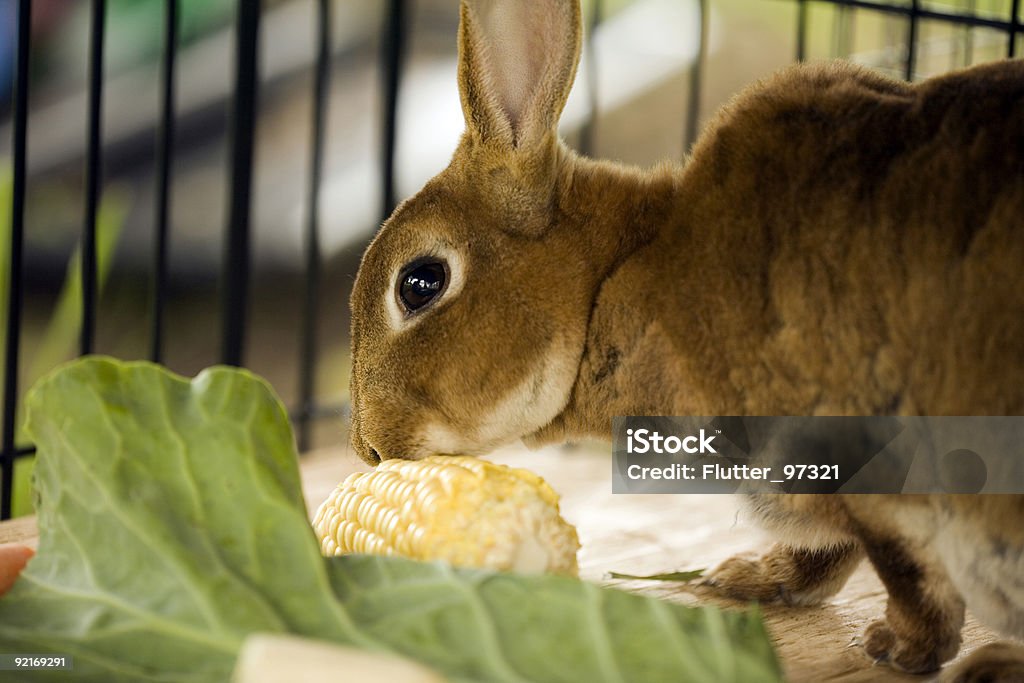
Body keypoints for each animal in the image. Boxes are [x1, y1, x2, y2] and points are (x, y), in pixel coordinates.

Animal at [346, 0, 1024, 679]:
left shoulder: (858, 461)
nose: (371, 449)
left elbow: (904, 572)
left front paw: (898, 646)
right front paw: (754, 578)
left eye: (421, 283)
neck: (616, 277)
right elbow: (831, 554)